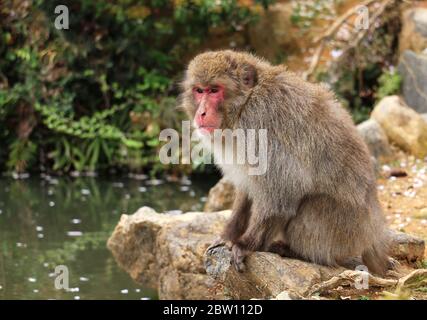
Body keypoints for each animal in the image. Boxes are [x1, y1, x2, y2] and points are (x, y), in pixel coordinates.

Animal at [179, 49, 392, 276]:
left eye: (214, 90)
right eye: (199, 91)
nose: (201, 113)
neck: (244, 105)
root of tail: (373, 234)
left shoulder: (261, 126)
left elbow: (282, 194)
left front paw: (245, 245)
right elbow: (247, 188)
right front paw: (228, 236)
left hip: (344, 232)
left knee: (310, 206)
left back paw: (296, 251)